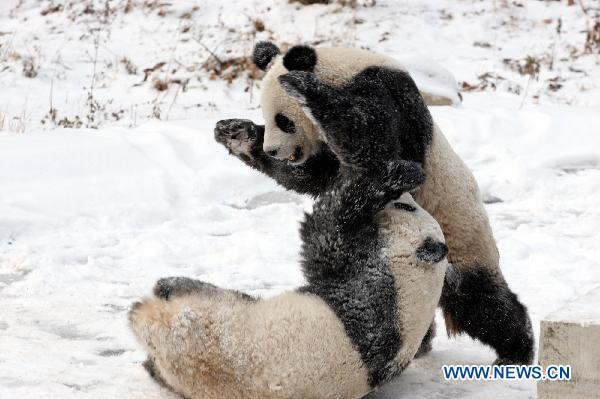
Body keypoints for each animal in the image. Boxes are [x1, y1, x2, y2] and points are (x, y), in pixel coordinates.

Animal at [131, 119, 450, 399]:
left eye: (406, 208)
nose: (407, 198)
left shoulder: (371, 286)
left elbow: (325, 231)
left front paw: (397, 175)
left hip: (223, 314)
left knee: (195, 293)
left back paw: (160, 290)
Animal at [216, 41, 536, 366]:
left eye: (284, 121)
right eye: (266, 117)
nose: (273, 150)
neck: (342, 70)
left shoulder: (385, 93)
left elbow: (374, 145)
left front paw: (302, 87)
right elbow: (319, 174)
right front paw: (236, 134)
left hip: (462, 241)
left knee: (482, 305)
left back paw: (516, 351)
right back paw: (425, 344)